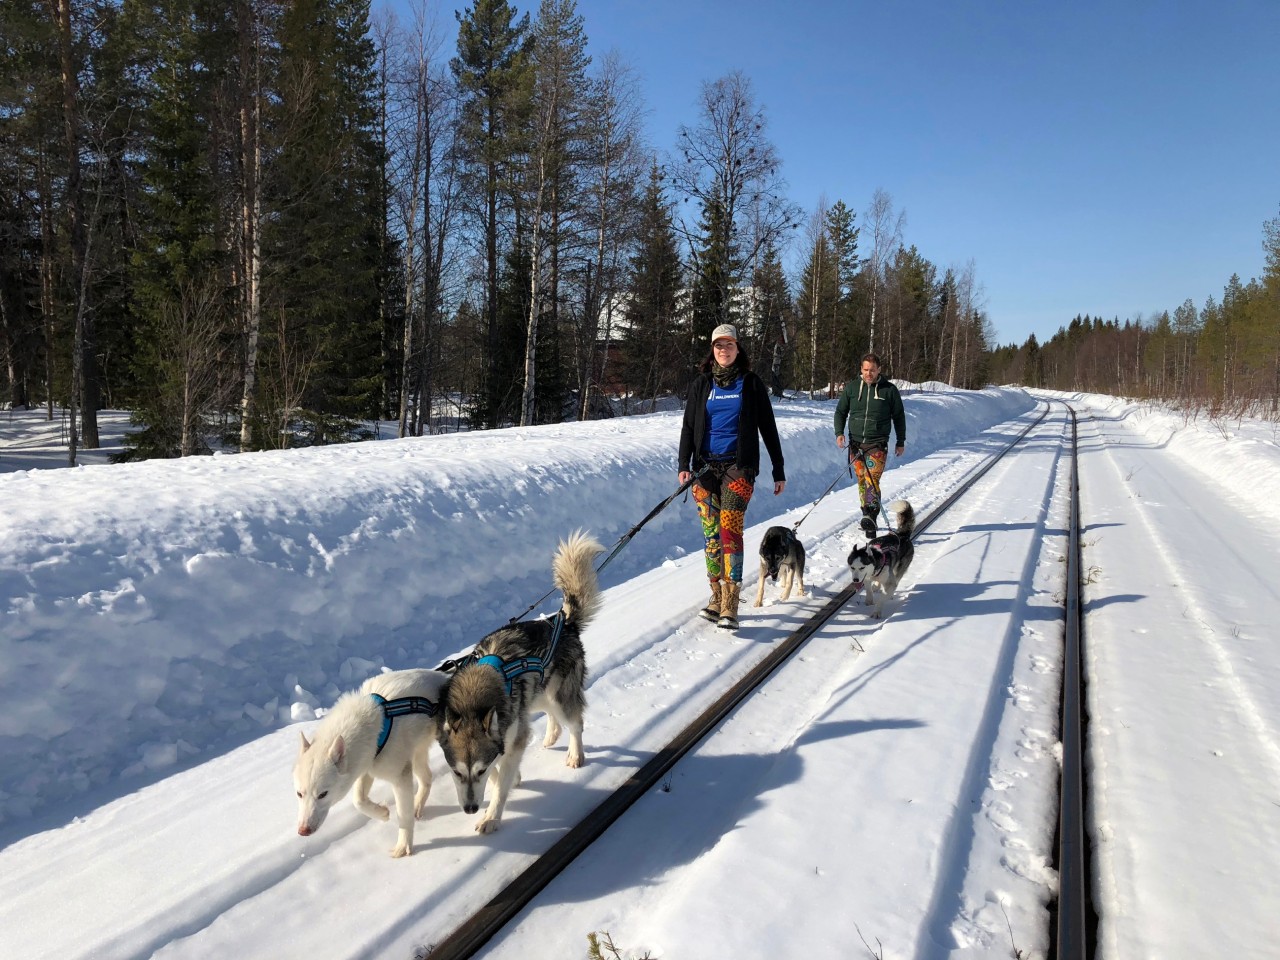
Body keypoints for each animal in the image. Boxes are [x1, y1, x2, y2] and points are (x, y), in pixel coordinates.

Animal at [294, 670, 450, 855]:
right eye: (299, 794)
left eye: (323, 794)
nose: (303, 831)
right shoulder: (367, 766)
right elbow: (358, 800)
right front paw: (381, 812)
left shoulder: (400, 776)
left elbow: (403, 815)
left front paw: (403, 845)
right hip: (417, 754)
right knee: (427, 778)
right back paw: (418, 804)